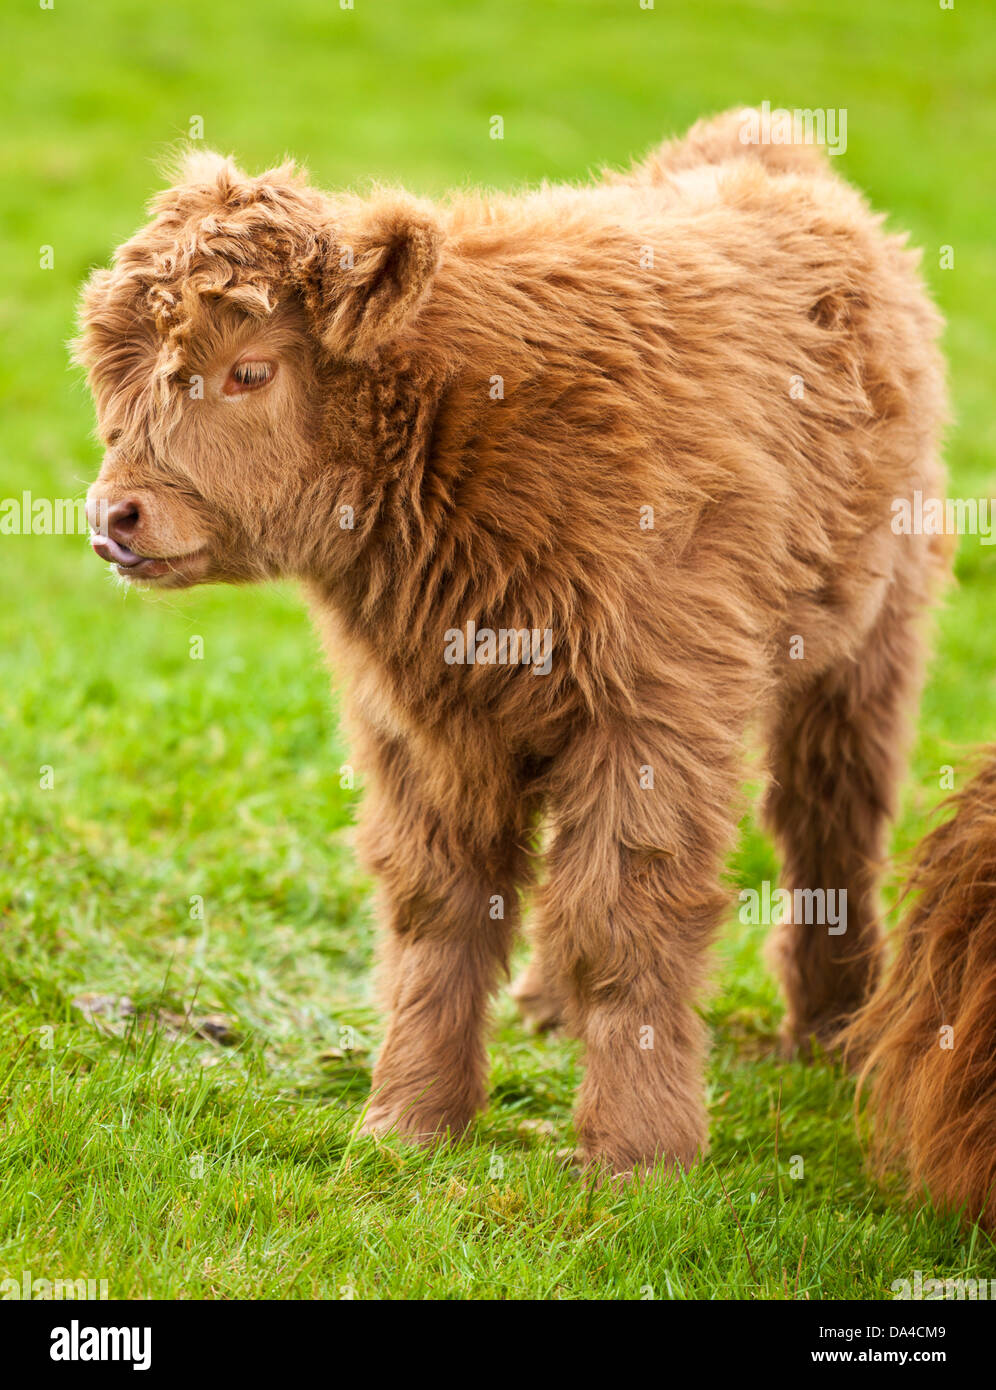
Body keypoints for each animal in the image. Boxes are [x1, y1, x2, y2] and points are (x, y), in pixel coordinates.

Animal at [77, 111, 950, 1173]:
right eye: (111, 373)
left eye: (250, 369)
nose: (116, 516)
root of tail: (763, 139)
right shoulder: (426, 729)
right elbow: (439, 910)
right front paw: (408, 1121)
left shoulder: (656, 714)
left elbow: (626, 919)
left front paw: (637, 1152)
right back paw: (549, 1005)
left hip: (870, 638)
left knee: (833, 817)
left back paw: (831, 1025)